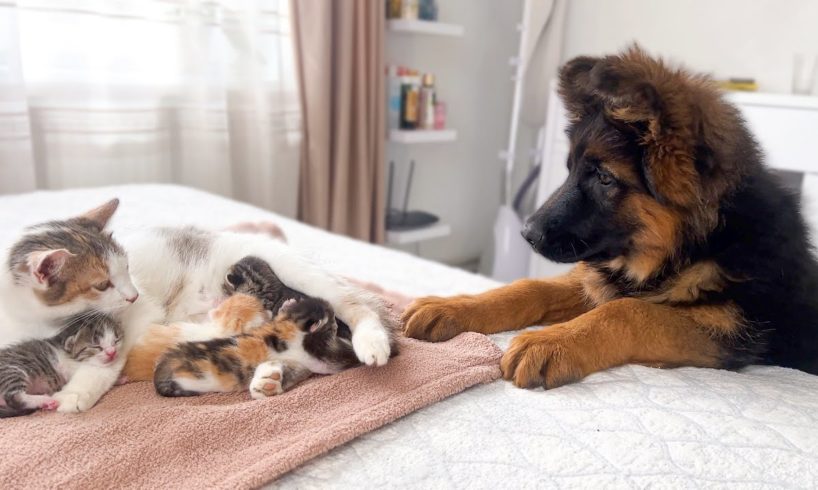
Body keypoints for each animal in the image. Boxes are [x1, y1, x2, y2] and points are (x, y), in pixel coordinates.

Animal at [400, 47, 816, 390]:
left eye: (604, 178)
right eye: (569, 169)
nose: (526, 233)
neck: (700, 243)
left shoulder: (728, 329)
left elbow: (629, 310)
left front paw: (551, 340)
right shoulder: (597, 279)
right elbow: (530, 287)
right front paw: (454, 306)